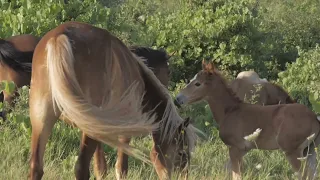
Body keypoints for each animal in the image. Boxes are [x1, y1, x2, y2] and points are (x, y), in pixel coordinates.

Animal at [29, 21, 198, 180]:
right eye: (182, 152)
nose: (185, 175)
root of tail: (59, 37)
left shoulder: (98, 128)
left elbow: (100, 168)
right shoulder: (123, 133)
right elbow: (121, 168)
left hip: (42, 119)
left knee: (36, 167)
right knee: (81, 169)